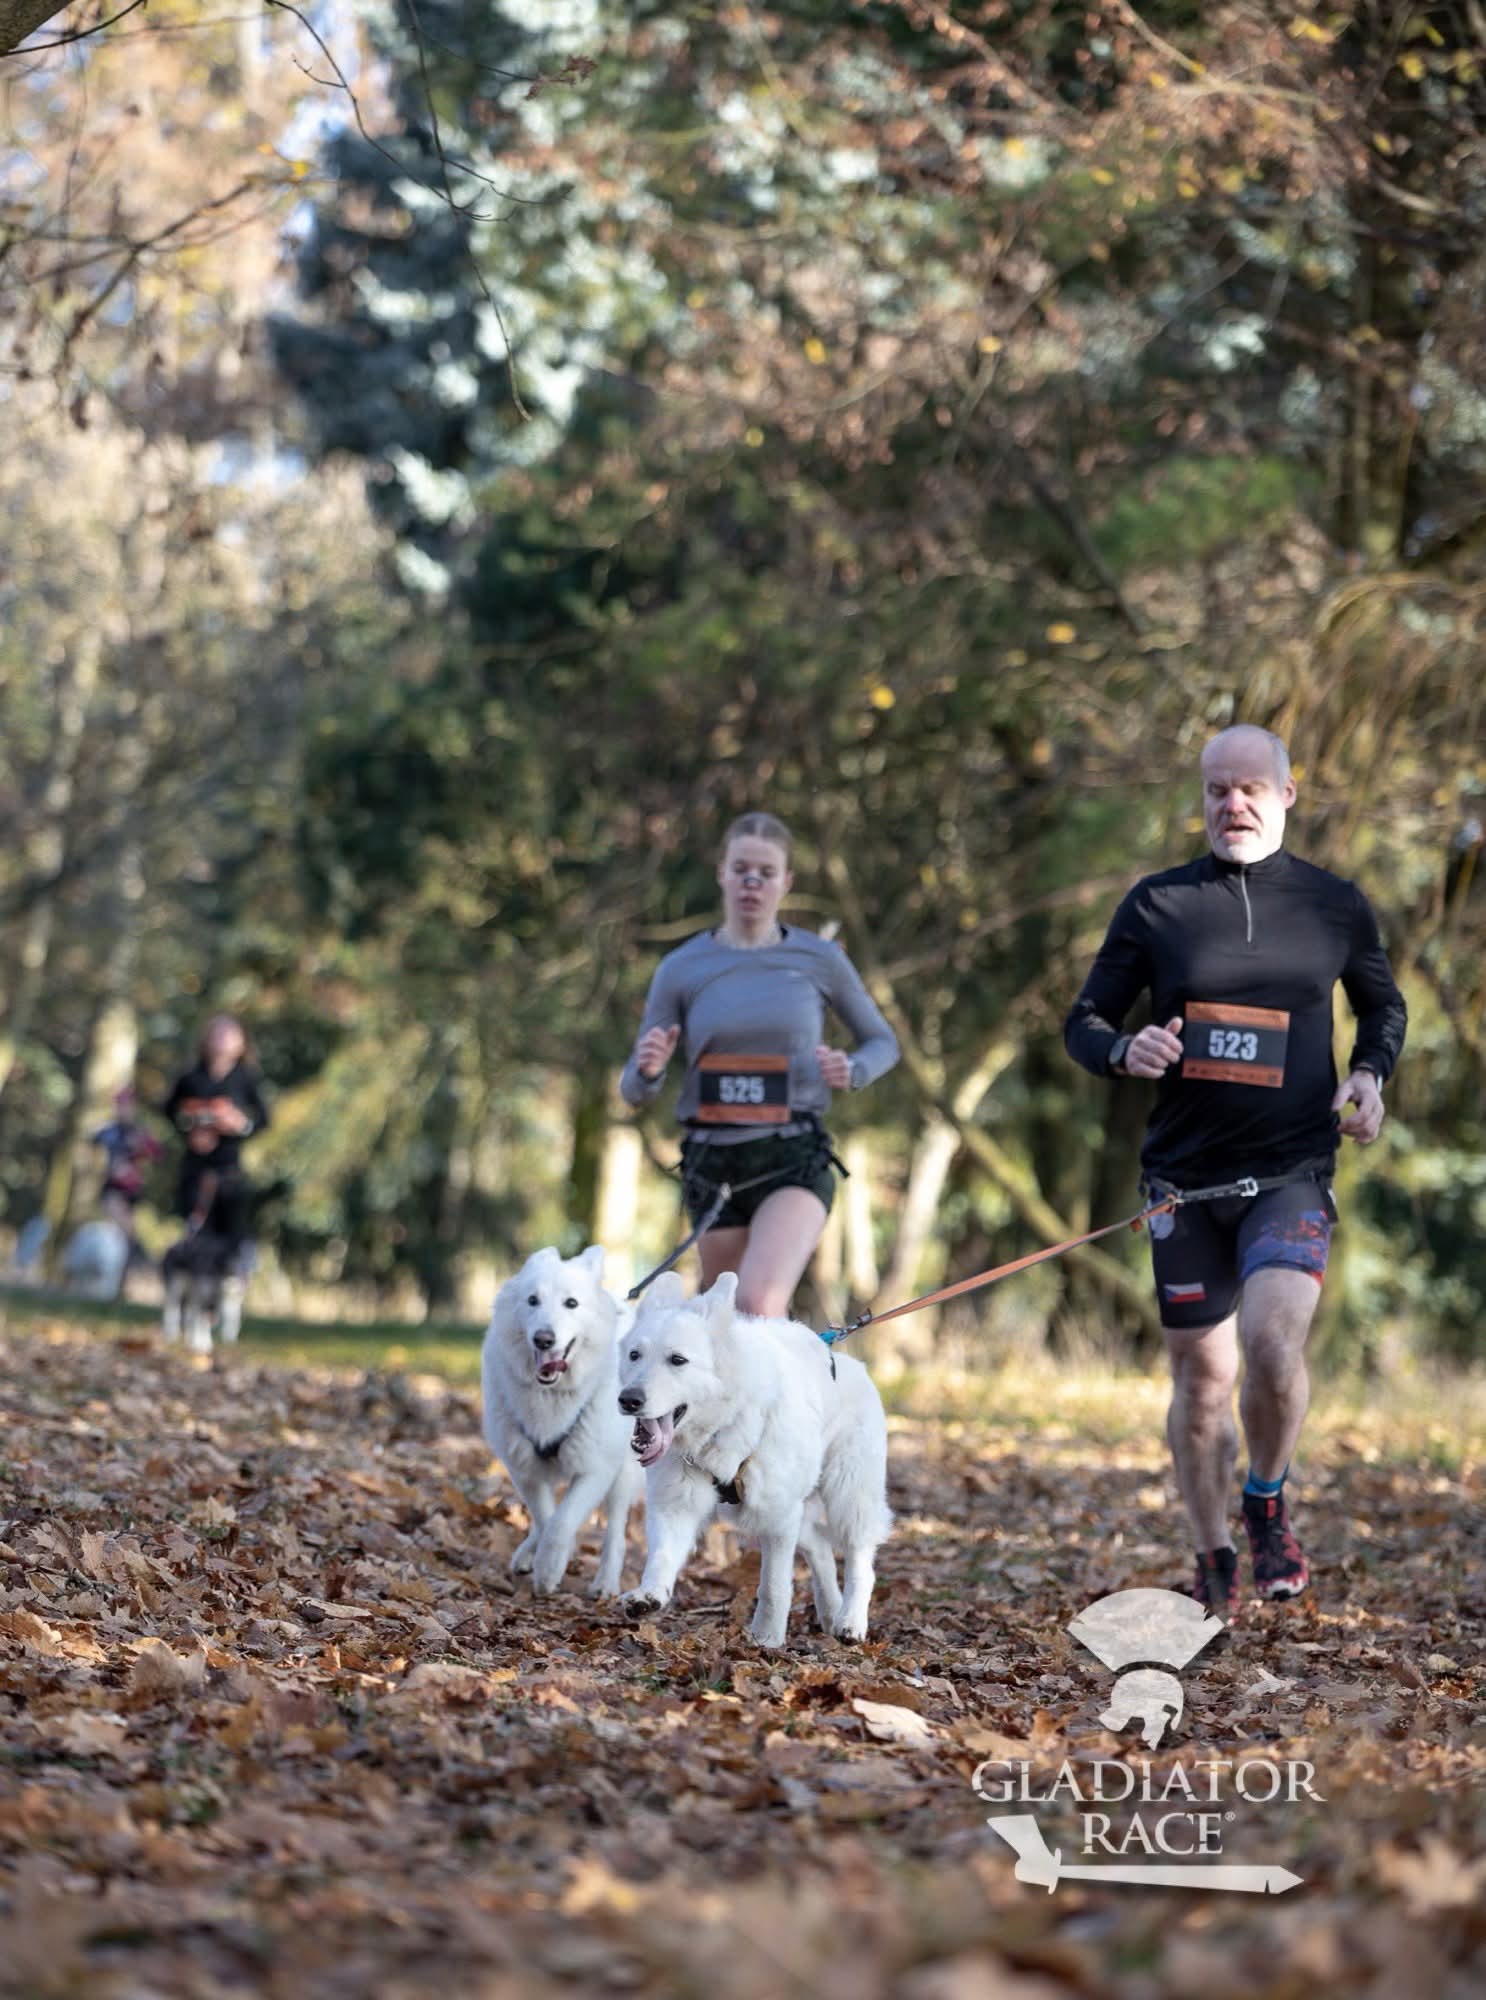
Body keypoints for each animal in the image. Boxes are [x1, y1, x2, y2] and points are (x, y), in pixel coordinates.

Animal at [481, 1245, 642, 1598]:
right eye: (532, 1300)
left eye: (571, 1303)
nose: (543, 1339)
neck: (551, 1395)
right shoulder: (523, 1467)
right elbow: (545, 1517)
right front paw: (546, 1561)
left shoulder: (596, 1468)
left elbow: (563, 1521)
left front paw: (549, 1569)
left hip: (624, 1474)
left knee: (616, 1534)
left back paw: (605, 1584)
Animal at [617, 1270, 892, 1649]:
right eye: (634, 1355)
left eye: (678, 1360)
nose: (628, 1400)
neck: (723, 1425)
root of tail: (857, 1367)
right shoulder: (677, 1505)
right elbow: (661, 1556)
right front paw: (649, 1595)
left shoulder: (777, 1519)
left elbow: (774, 1587)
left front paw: (767, 1639)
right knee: (820, 1547)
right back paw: (830, 1612)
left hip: (848, 1497)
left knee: (860, 1560)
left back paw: (850, 1621)